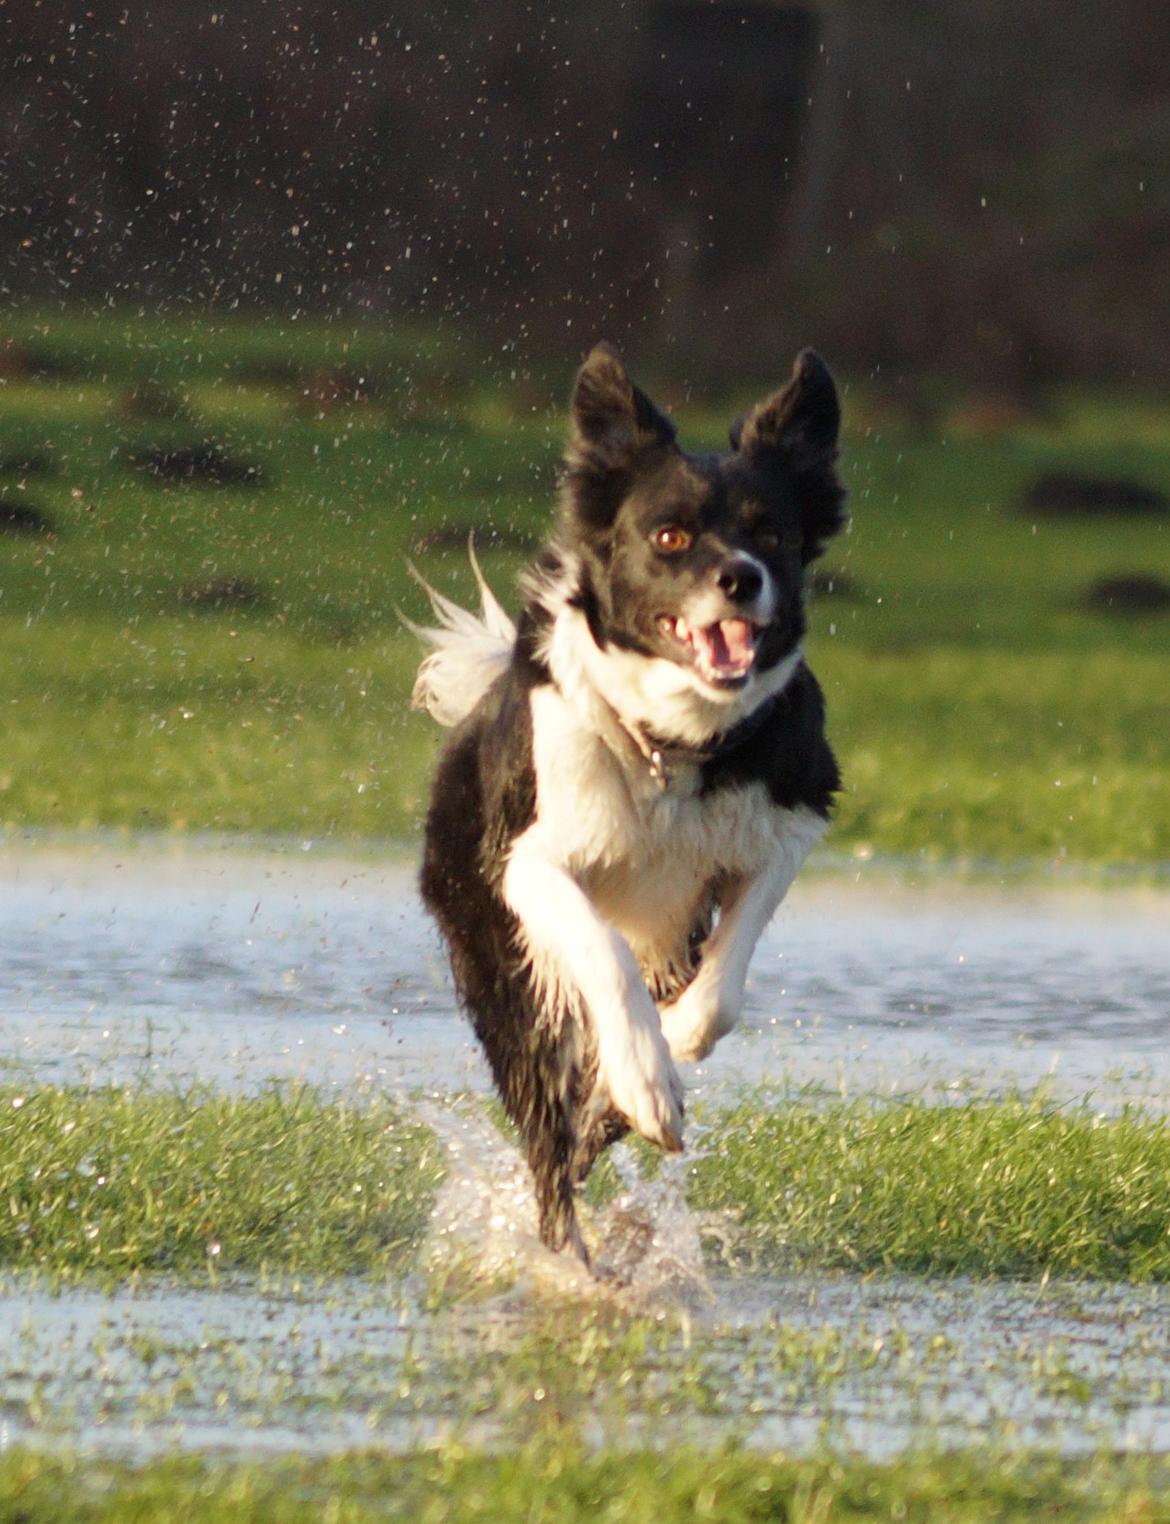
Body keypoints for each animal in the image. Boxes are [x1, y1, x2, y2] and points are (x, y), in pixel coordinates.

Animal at [414, 345, 847, 1261]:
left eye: (772, 533)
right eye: (670, 536)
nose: (740, 578)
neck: (674, 750)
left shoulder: (789, 822)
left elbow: (719, 996)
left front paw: (666, 1054)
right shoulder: (530, 861)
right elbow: (602, 949)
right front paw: (646, 1079)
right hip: (497, 963)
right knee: (546, 1143)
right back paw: (568, 1254)